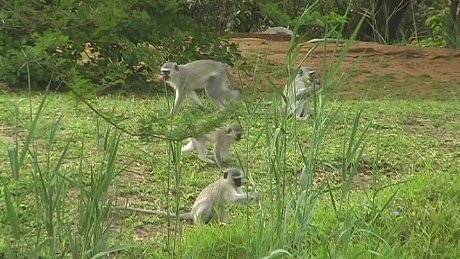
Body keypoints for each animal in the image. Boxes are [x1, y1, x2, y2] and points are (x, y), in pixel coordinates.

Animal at [120, 168, 260, 224]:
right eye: (236, 178)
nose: (240, 182)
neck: (229, 182)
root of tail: (191, 213)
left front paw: (255, 196)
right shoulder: (226, 187)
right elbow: (233, 199)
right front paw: (257, 194)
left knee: (220, 207)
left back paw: (225, 224)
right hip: (199, 210)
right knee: (208, 204)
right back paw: (199, 224)